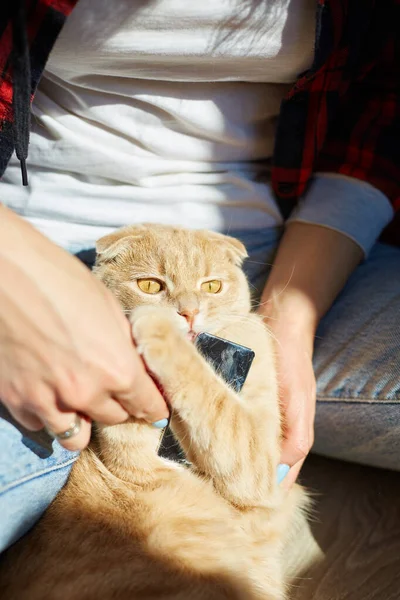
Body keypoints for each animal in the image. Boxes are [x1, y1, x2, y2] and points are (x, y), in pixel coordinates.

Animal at [0, 226, 308, 600]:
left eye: (212, 287)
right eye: (150, 285)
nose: (188, 313)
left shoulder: (258, 461)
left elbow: (208, 392)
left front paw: (156, 329)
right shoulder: (131, 450)